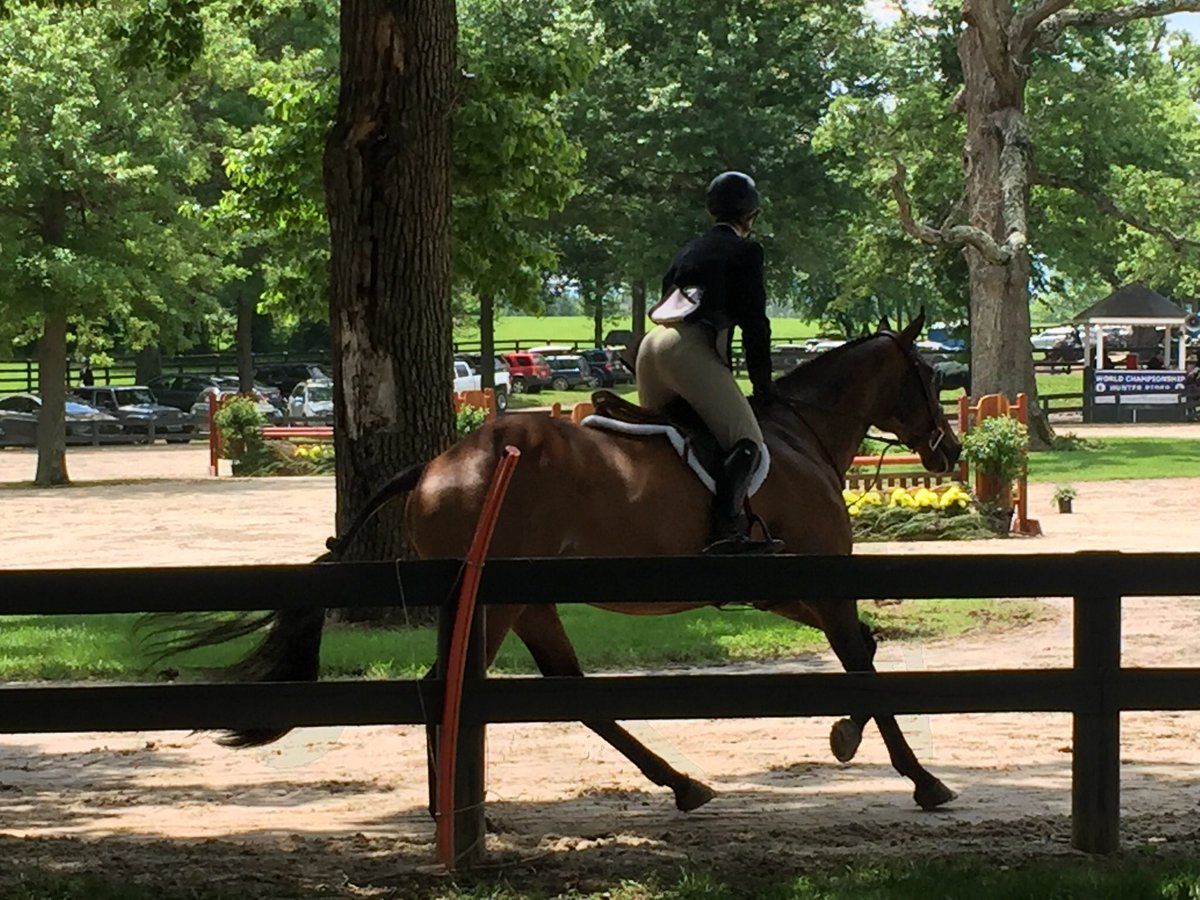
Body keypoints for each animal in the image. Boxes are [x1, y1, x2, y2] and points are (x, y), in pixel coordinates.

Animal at [175, 312, 962, 813]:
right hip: (496, 601)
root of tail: (433, 466)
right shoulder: (820, 578)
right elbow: (860, 658)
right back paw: (455, 808)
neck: (799, 434)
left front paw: (846, 737)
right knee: (452, 684)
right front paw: (920, 778)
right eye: (927, 375)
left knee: (564, 686)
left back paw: (679, 785)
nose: (949, 450)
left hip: (526, 601)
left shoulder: (781, 588)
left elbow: (864, 649)